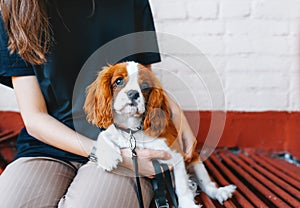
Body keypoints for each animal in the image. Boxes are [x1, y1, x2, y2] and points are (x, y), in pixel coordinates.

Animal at [83, 61, 236, 207]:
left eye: (145, 86)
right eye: (118, 81)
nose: (133, 93)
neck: (134, 129)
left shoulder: (176, 154)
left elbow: (182, 187)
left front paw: (187, 204)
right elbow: (104, 134)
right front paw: (107, 157)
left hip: (195, 160)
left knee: (207, 184)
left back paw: (219, 192)